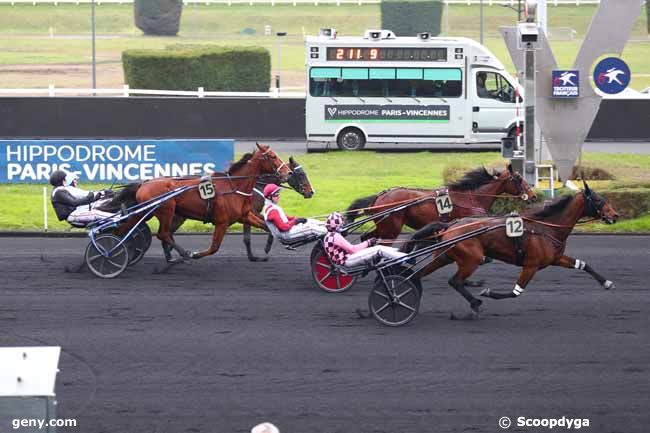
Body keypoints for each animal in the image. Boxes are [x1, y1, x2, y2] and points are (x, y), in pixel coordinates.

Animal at [105, 143, 290, 262]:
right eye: (272, 156)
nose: (288, 172)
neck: (234, 186)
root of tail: (144, 183)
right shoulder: (222, 222)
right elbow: (214, 247)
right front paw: (195, 254)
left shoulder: (244, 215)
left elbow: (267, 226)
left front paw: (267, 248)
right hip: (166, 210)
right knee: (163, 234)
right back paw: (183, 255)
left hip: (146, 212)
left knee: (124, 229)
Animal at [342, 165, 536, 241]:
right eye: (519, 179)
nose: (533, 196)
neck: (472, 197)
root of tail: (379, 197)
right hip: (391, 228)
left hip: (384, 226)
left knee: (366, 238)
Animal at [404, 181, 616, 316]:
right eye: (598, 200)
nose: (615, 215)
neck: (547, 228)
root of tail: (451, 225)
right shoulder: (531, 265)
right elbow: (516, 292)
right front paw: (487, 293)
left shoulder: (556, 259)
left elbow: (583, 264)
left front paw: (607, 282)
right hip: (472, 258)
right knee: (454, 281)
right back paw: (475, 302)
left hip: (444, 256)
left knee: (418, 275)